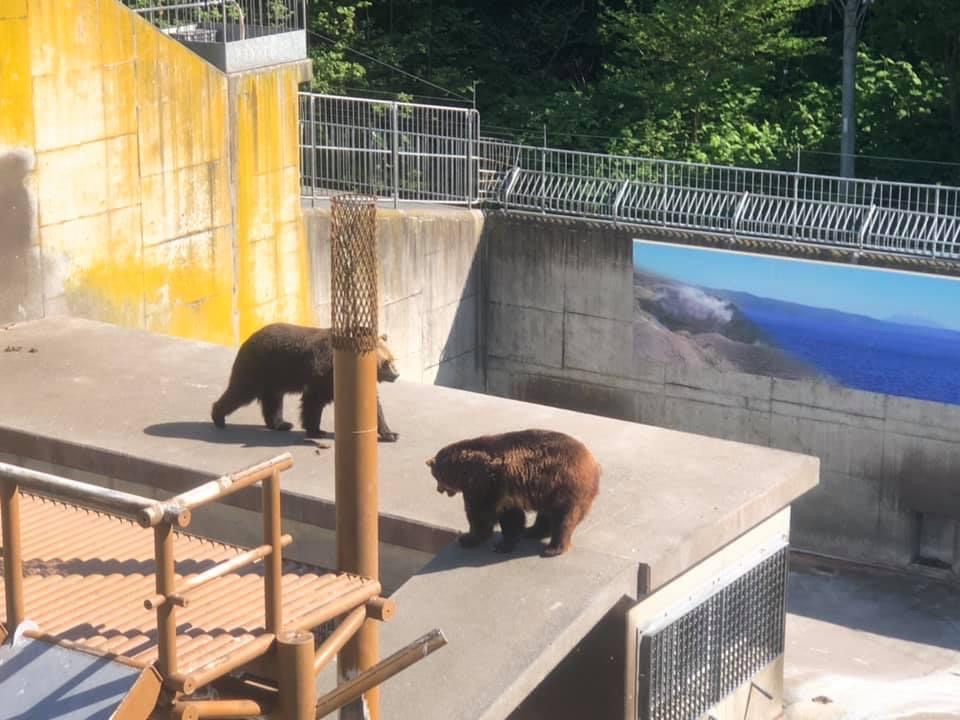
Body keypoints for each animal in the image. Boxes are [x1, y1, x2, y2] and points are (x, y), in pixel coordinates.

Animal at [212, 324, 400, 442]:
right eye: (386, 363)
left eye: (393, 359)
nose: (396, 375)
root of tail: (249, 338)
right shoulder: (323, 371)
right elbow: (314, 400)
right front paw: (316, 430)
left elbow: (372, 405)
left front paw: (390, 434)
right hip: (258, 366)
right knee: (240, 391)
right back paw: (218, 417)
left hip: (275, 374)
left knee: (272, 400)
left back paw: (281, 424)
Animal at [424, 428, 596, 556]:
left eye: (436, 477)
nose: (438, 490)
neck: (464, 471)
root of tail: (592, 461)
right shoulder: (505, 492)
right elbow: (512, 516)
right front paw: (506, 541)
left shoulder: (485, 484)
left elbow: (480, 514)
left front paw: (468, 538)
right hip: (548, 491)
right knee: (546, 514)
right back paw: (532, 531)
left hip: (565, 487)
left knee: (563, 517)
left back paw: (554, 548)